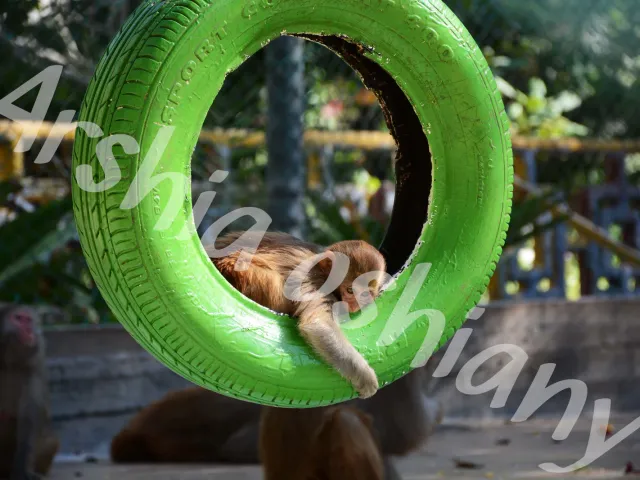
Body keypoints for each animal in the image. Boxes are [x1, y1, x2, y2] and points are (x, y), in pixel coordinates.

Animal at [0, 305, 59, 480]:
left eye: (29, 320)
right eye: (18, 318)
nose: (28, 330)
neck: (8, 363)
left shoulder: (33, 370)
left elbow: (29, 416)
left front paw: (22, 471)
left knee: (51, 441)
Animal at [207, 231, 386, 399]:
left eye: (366, 294)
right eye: (350, 290)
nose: (355, 304)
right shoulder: (317, 284)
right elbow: (318, 325)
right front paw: (366, 378)